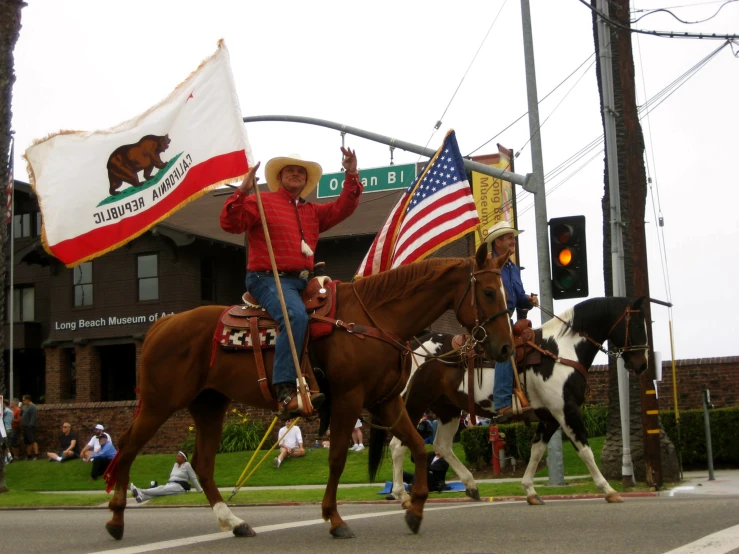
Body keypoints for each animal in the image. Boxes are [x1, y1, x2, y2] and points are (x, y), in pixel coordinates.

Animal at [102, 244, 516, 536]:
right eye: (490, 292)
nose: (505, 348)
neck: (374, 320)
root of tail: (162, 325)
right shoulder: (349, 400)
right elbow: (337, 459)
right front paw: (334, 518)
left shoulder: (386, 402)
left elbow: (415, 445)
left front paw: (414, 510)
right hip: (159, 403)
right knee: (126, 449)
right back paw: (117, 520)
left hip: (209, 405)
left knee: (202, 464)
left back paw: (234, 522)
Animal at [378, 298, 652, 504]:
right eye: (639, 326)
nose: (642, 365)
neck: (561, 351)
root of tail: (414, 344)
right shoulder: (566, 410)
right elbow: (584, 449)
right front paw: (608, 489)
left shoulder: (550, 417)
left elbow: (537, 450)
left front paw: (530, 490)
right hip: (414, 404)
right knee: (398, 444)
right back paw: (401, 494)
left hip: (448, 409)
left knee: (442, 446)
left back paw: (471, 485)